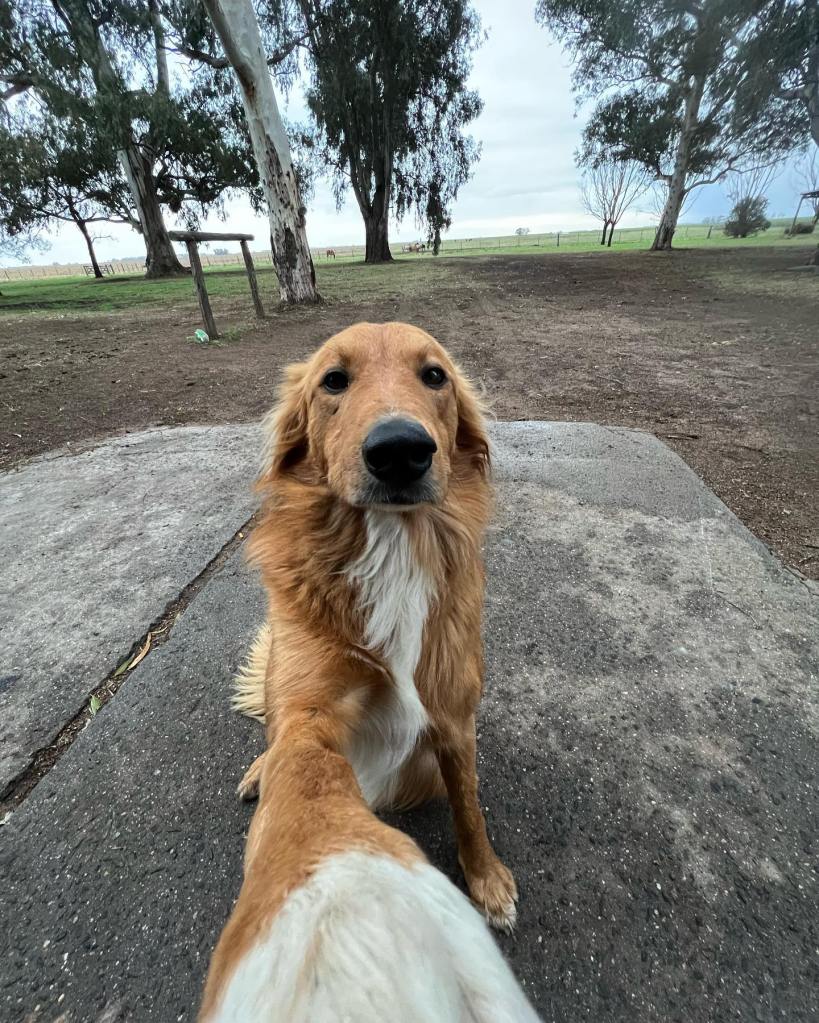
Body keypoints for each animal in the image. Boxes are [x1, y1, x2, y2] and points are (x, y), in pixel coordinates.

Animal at [233, 323, 517, 932]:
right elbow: (301, 778)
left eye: (434, 375)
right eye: (334, 380)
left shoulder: (453, 713)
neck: (392, 546)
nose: (400, 450)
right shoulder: (310, 712)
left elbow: (468, 802)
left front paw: (485, 878)